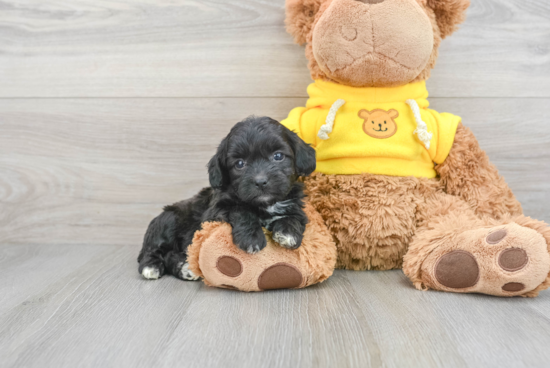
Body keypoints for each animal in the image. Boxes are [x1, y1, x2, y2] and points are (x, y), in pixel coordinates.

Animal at [138, 116, 316, 280]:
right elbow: (241, 209)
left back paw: (185, 267)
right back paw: (151, 267)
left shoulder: (295, 206)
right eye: (239, 164)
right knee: (152, 250)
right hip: (168, 220)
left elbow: (293, 217)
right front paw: (251, 238)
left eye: (278, 156)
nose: (260, 181)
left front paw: (288, 233)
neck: (265, 204)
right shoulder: (216, 212)